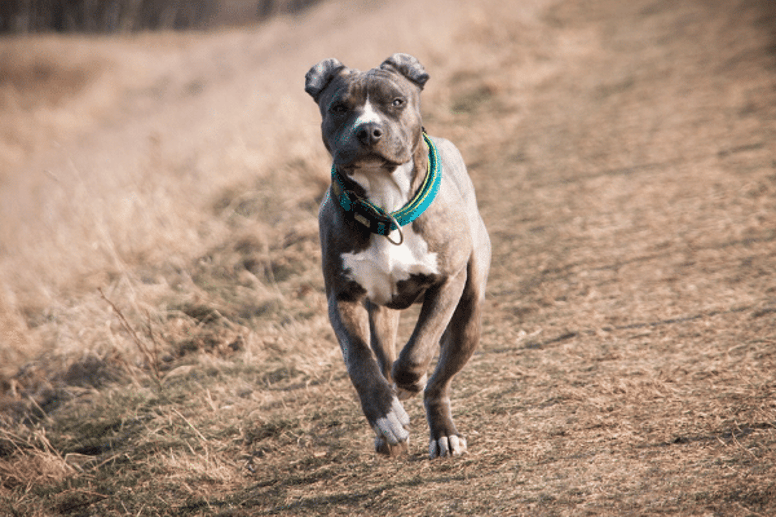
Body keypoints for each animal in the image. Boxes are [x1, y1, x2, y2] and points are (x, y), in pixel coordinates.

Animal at [304, 51, 492, 456]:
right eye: (339, 107)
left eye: (396, 102)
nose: (368, 131)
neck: (386, 204)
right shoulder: (342, 297)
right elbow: (359, 361)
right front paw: (385, 417)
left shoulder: (448, 283)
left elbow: (419, 348)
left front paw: (411, 382)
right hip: (381, 313)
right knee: (384, 355)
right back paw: (388, 427)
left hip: (469, 315)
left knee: (438, 382)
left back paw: (442, 432)